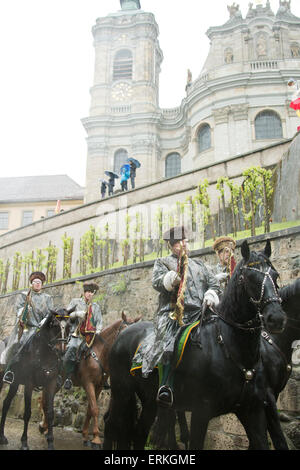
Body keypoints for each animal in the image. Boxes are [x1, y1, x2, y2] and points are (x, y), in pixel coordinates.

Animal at [0, 306, 72, 450]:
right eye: (54, 325)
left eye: (69, 326)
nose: (61, 350)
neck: (45, 355)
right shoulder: (29, 384)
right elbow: (27, 413)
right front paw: (24, 442)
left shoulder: (50, 384)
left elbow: (50, 413)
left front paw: (50, 442)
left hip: (15, 383)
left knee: (5, 404)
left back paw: (2, 437)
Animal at [39, 310, 141, 450]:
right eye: (125, 330)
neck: (99, 353)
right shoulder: (88, 384)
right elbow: (95, 409)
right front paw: (96, 440)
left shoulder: (98, 386)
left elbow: (89, 410)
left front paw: (86, 436)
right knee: (44, 399)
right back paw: (44, 427)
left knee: (45, 398)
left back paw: (44, 427)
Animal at [103, 241, 286, 450]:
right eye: (248, 278)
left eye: (275, 275)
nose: (276, 318)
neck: (229, 346)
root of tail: (122, 334)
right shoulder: (201, 412)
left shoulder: (252, 409)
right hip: (122, 393)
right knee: (112, 425)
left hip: (149, 400)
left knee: (138, 433)